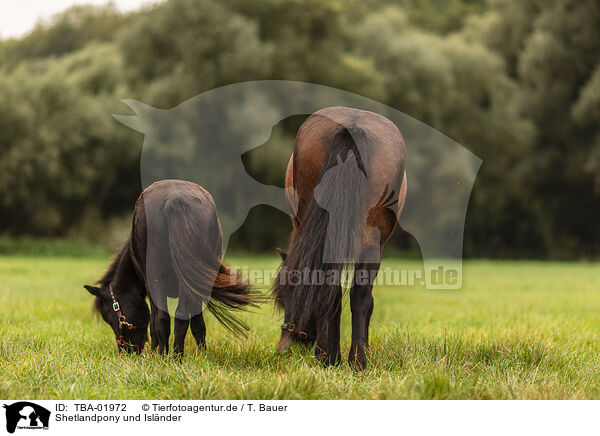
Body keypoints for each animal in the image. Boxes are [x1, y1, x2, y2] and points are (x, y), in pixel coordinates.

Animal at [84, 180, 253, 354]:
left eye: (109, 316)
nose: (125, 351)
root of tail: (174, 200)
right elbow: (197, 323)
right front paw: (201, 352)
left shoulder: (149, 286)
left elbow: (153, 322)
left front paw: (154, 351)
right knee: (180, 316)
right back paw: (177, 355)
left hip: (157, 277)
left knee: (162, 318)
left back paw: (163, 354)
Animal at [274, 105, 408, 368]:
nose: (286, 345)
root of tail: (351, 126)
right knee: (355, 294)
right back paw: (349, 359)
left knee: (340, 290)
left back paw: (337, 357)